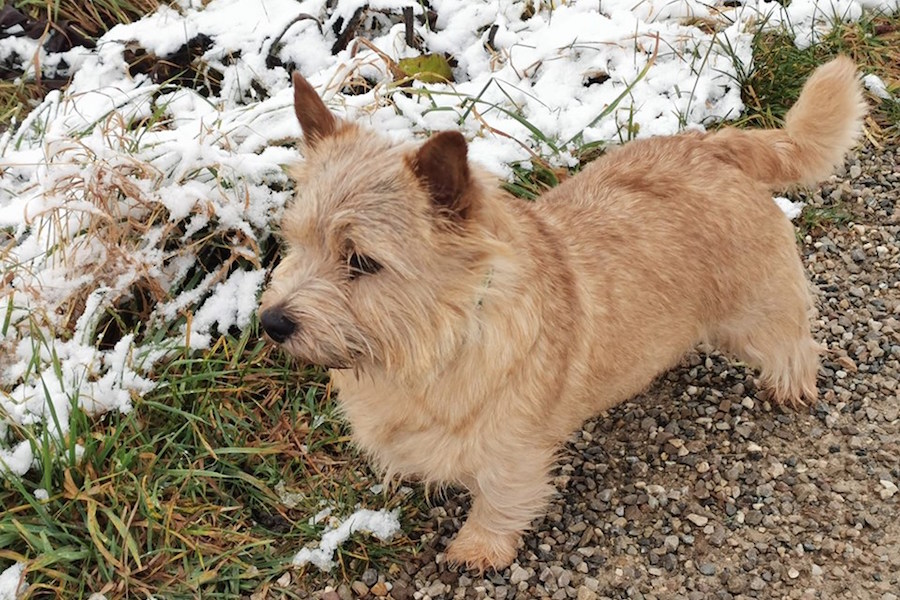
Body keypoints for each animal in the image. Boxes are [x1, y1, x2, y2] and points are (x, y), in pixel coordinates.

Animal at [258, 58, 864, 568]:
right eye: (294, 241)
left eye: (362, 260)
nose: (271, 323)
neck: (431, 342)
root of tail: (715, 145)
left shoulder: (513, 452)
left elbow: (499, 499)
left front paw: (478, 548)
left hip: (757, 315)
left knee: (796, 342)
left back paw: (791, 385)